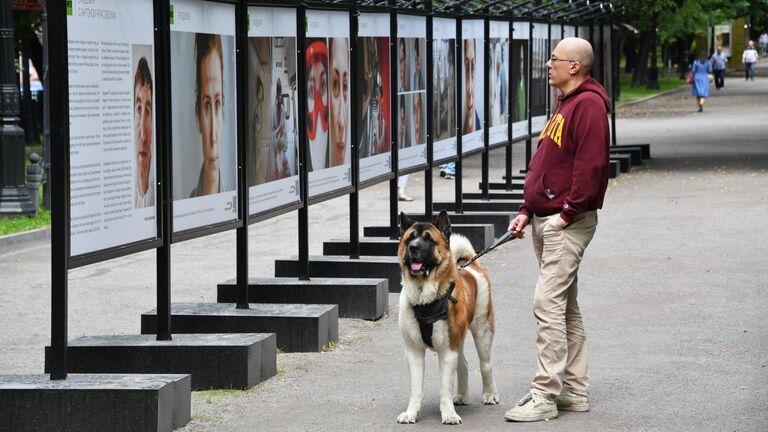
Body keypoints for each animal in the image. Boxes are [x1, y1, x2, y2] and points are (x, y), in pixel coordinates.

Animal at [396, 211, 498, 424]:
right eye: (410, 238)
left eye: (428, 239)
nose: (414, 247)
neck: (425, 298)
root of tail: (470, 263)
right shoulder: (414, 351)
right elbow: (416, 387)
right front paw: (411, 413)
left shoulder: (447, 350)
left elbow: (445, 386)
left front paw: (449, 414)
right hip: (458, 341)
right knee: (463, 364)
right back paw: (461, 396)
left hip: (483, 330)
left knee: (485, 365)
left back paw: (490, 394)